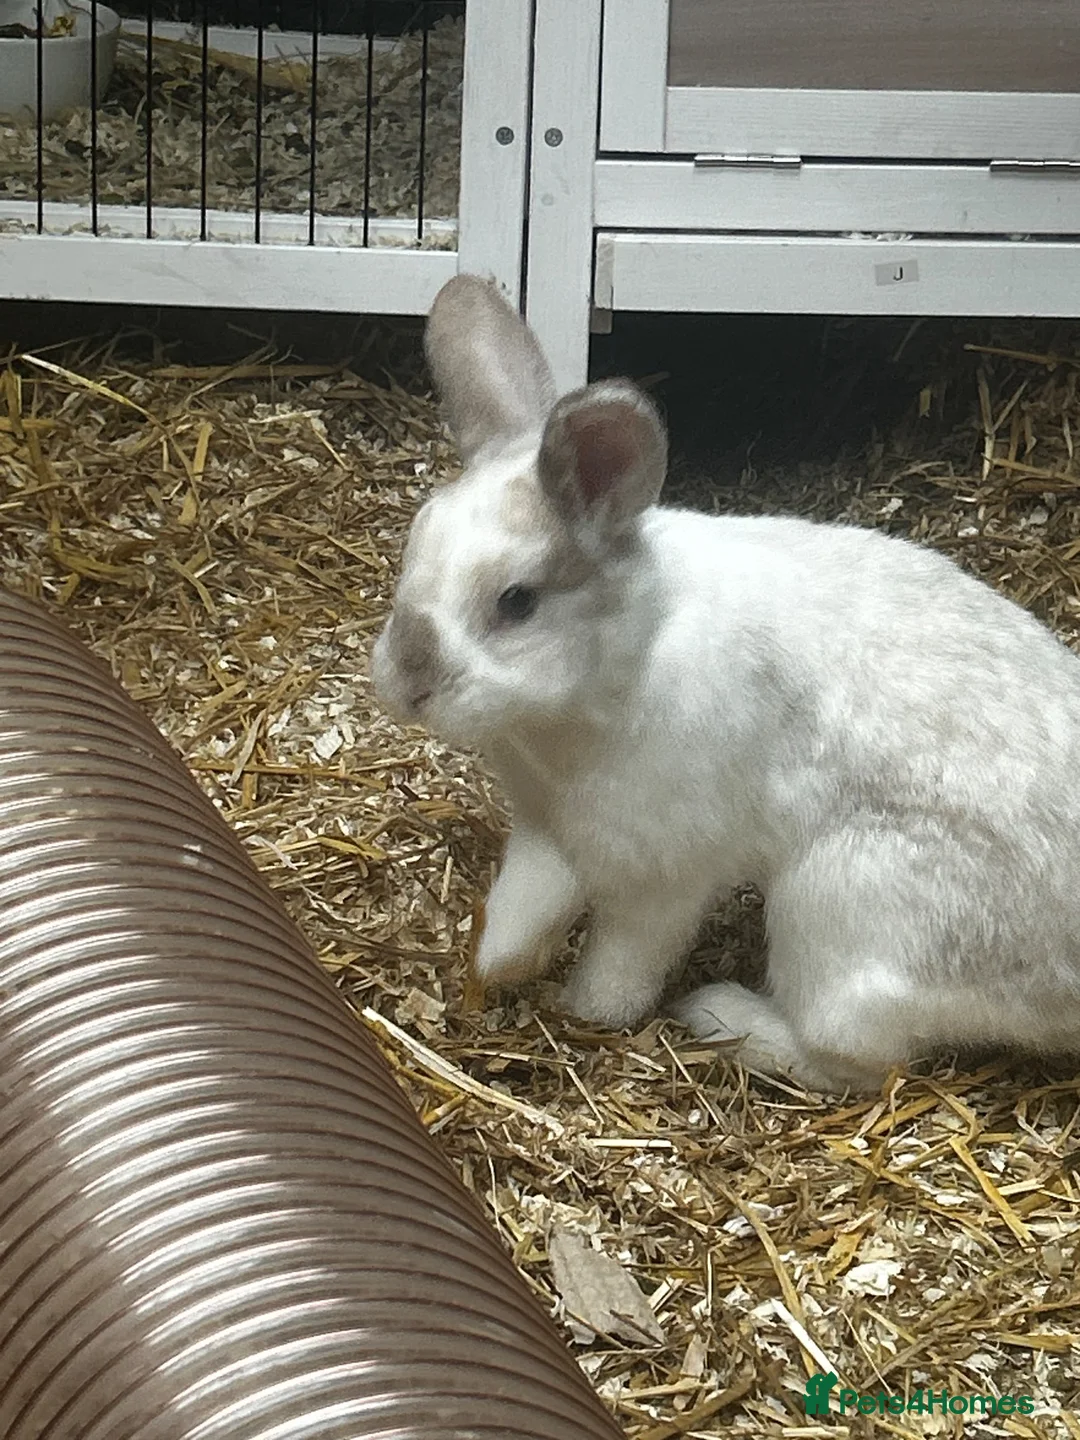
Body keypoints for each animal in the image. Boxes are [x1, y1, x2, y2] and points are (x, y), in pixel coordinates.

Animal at [371, 273, 1080, 1095]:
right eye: (412, 548)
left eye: (516, 601)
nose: (406, 682)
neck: (624, 662)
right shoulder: (547, 832)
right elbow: (524, 907)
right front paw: (493, 969)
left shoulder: (661, 875)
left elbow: (625, 962)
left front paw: (586, 1012)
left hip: (842, 906)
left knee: (861, 1060)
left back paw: (719, 1015)